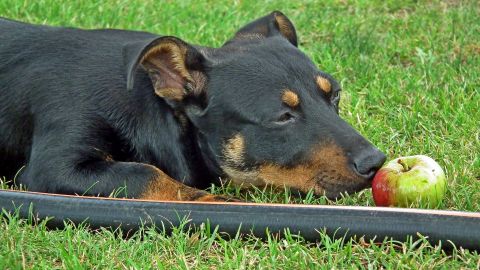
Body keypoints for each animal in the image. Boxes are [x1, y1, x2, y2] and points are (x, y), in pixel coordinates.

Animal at [0, 12, 384, 202]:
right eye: (282, 117)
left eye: (335, 95)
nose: (376, 162)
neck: (149, 107)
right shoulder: (53, 166)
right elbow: (146, 174)